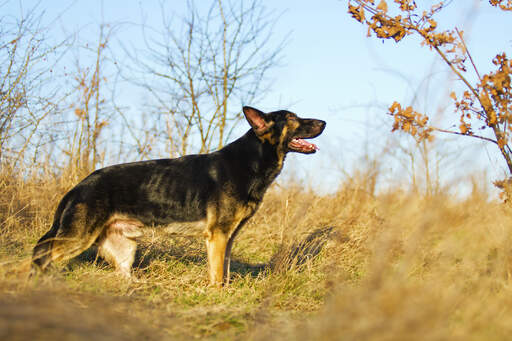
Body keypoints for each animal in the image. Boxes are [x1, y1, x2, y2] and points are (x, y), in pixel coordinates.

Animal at [30, 105, 326, 284]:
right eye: (292, 118)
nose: (324, 121)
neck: (252, 160)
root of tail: (79, 186)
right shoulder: (217, 236)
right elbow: (217, 275)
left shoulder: (227, 239)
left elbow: (224, 271)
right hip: (76, 238)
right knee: (40, 254)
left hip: (124, 249)